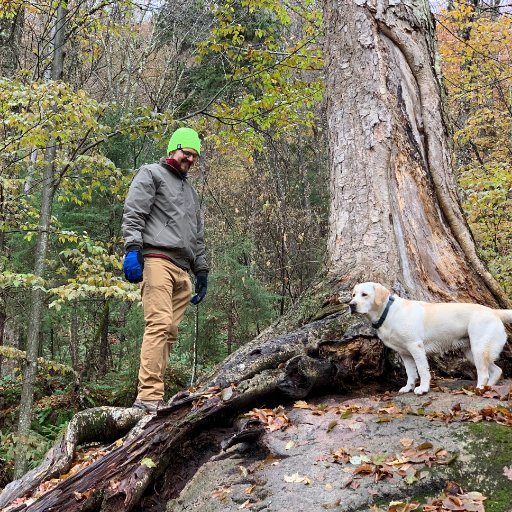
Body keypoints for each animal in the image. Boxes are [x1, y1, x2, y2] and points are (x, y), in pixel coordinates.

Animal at [346, 282, 510, 394]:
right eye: (353, 295)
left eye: (364, 294)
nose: (351, 305)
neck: (387, 312)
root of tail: (494, 311)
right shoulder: (405, 353)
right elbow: (411, 373)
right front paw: (408, 387)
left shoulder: (416, 347)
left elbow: (422, 370)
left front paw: (423, 388)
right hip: (471, 352)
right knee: (497, 370)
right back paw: (488, 389)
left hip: (478, 349)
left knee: (484, 374)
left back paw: (479, 389)